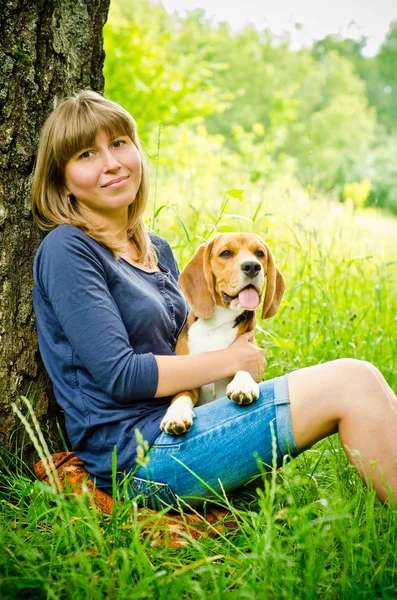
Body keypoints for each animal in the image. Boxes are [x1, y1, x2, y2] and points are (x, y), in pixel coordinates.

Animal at [159, 233, 286, 436]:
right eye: (226, 253)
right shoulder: (187, 379)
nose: (252, 266)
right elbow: (181, 396)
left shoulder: (249, 351)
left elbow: (243, 366)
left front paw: (242, 384)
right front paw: (176, 415)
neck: (217, 326)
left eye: (260, 253)